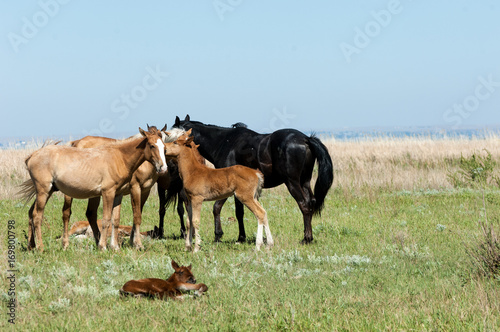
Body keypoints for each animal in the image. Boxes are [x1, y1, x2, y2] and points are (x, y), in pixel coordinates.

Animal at [20, 127, 167, 252]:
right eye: (152, 145)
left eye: (164, 148)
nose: (163, 168)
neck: (119, 157)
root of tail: (32, 155)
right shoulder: (108, 192)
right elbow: (106, 219)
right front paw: (103, 246)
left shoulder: (118, 194)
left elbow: (115, 220)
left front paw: (115, 247)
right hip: (43, 191)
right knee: (37, 216)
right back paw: (41, 247)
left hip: (48, 191)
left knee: (31, 213)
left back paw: (31, 245)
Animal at [170, 115, 334, 244]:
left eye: (173, 138)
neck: (224, 142)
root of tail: (306, 139)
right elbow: (239, 212)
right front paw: (241, 237)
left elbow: (216, 208)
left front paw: (218, 236)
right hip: (304, 181)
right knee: (311, 203)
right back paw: (309, 237)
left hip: (292, 182)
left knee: (304, 205)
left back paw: (306, 239)